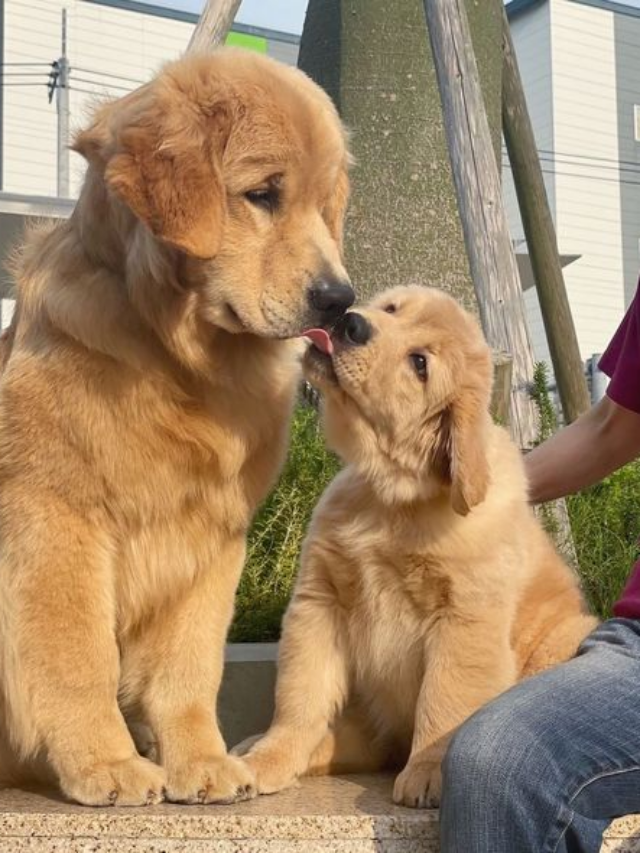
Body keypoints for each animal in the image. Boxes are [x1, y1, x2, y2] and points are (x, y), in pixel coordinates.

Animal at [0, 50, 352, 808]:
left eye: (323, 204)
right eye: (263, 194)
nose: (340, 301)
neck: (175, 361)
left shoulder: (209, 539)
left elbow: (188, 668)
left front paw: (202, 761)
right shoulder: (57, 521)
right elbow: (78, 656)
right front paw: (105, 762)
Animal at [240, 284, 596, 804]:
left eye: (420, 364)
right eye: (392, 309)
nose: (352, 323)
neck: (391, 499)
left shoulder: (464, 619)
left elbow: (444, 700)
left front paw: (427, 772)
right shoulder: (319, 601)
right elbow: (299, 694)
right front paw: (271, 758)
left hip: (564, 638)